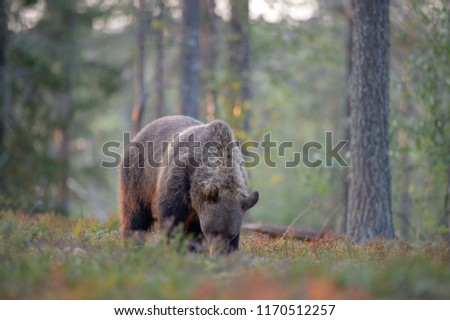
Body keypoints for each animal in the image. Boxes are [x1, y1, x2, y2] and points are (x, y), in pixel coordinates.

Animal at [118, 115, 260, 255]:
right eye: (214, 231)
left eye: (231, 234)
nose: (218, 252)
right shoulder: (179, 179)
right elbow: (171, 218)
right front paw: (174, 247)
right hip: (138, 179)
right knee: (135, 217)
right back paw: (132, 246)